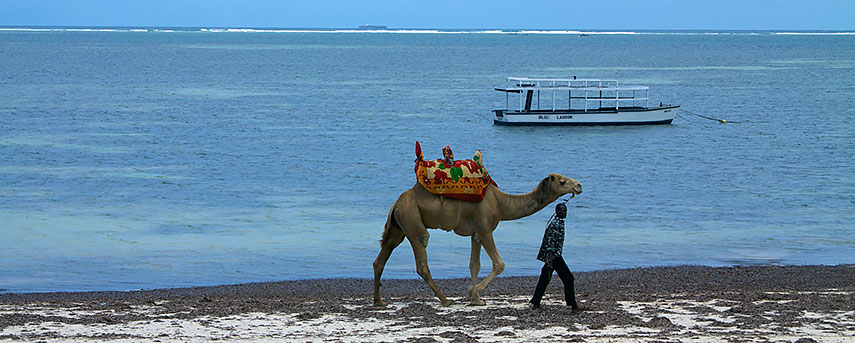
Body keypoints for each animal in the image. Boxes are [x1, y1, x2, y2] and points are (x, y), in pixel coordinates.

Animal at [372, 173, 580, 308]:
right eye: (562, 181)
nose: (579, 185)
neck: (501, 203)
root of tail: (396, 204)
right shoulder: (485, 229)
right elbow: (499, 264)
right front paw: (471, 293)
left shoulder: (476, 233)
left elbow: (474, 265)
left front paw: (476, 299)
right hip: (412, 221)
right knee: (422, 258)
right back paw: (445, 300)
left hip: (398, 228)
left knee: (380, 259)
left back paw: (379, 301)